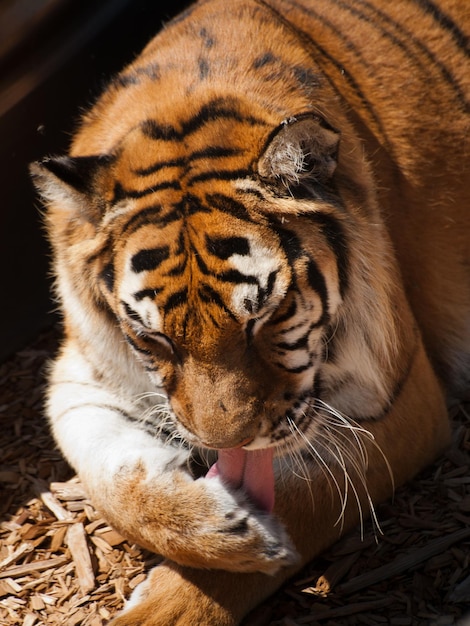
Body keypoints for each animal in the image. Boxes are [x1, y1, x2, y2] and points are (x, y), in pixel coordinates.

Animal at [31, 0, 468, 620]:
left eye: (267, 314)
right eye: (154, 339)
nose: (226, 446)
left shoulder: (400, 398)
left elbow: (304, 497)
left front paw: (244, 550)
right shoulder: (78, 382)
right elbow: (114, 484)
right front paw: (220, 525)